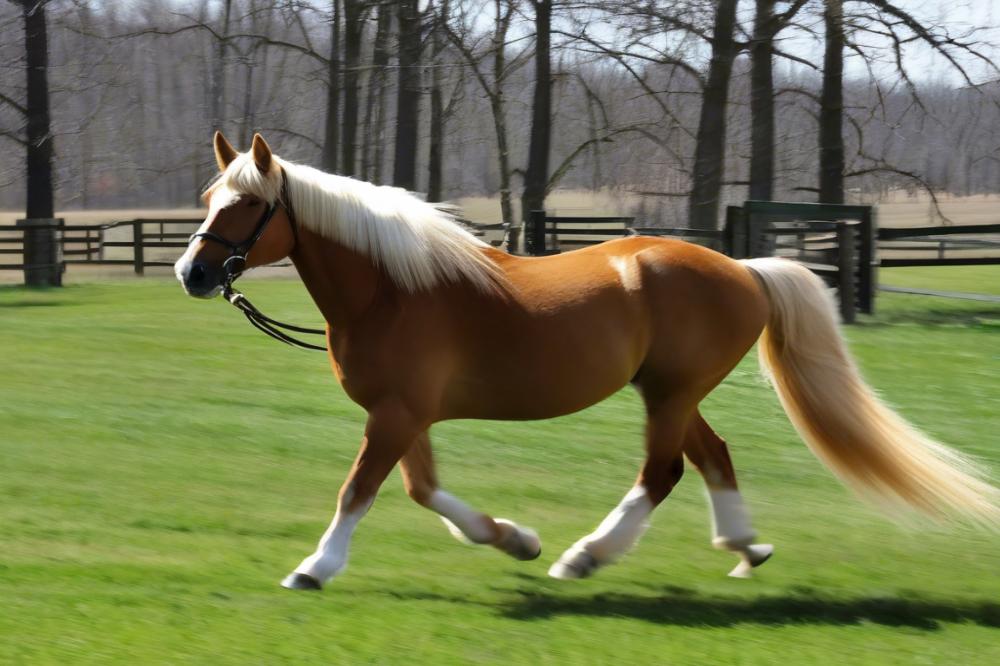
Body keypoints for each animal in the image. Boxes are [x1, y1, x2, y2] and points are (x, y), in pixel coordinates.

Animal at [176, 132, 996, 588]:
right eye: (209, 198)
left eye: (246, 206)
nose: (193, 273)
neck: (392, 289)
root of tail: (744, 269)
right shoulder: (407, 416)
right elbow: (424, 492)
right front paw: (513, 538)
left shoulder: (397, 415)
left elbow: (360, 492)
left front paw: (314, 569)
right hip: (673, 394)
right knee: (714, 456)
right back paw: (742, 547)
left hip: (668, 395)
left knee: (663, 473)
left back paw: (589, 556)